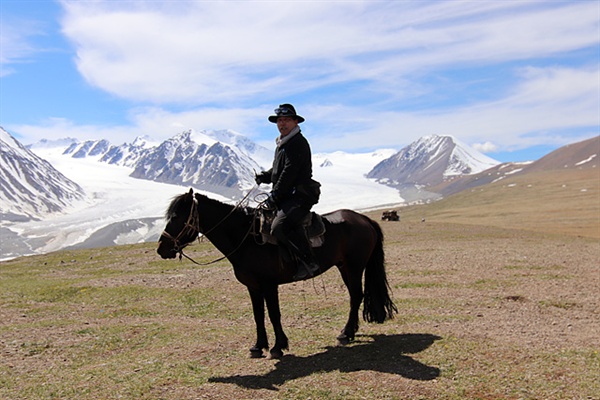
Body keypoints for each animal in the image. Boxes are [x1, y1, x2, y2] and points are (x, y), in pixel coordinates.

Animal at [157, 188, 396, 360]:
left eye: (176, 216)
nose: (161, 249)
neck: (247, 238)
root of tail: (364, 219)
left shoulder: (269, 285)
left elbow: (274, 314)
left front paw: (278, 347)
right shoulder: (253, 286)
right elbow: (258, 315)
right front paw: (258, 346)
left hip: (355, 267)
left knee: (356, 296)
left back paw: (346, 334)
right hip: (344, 267)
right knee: (356, 296)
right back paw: (351, 331)